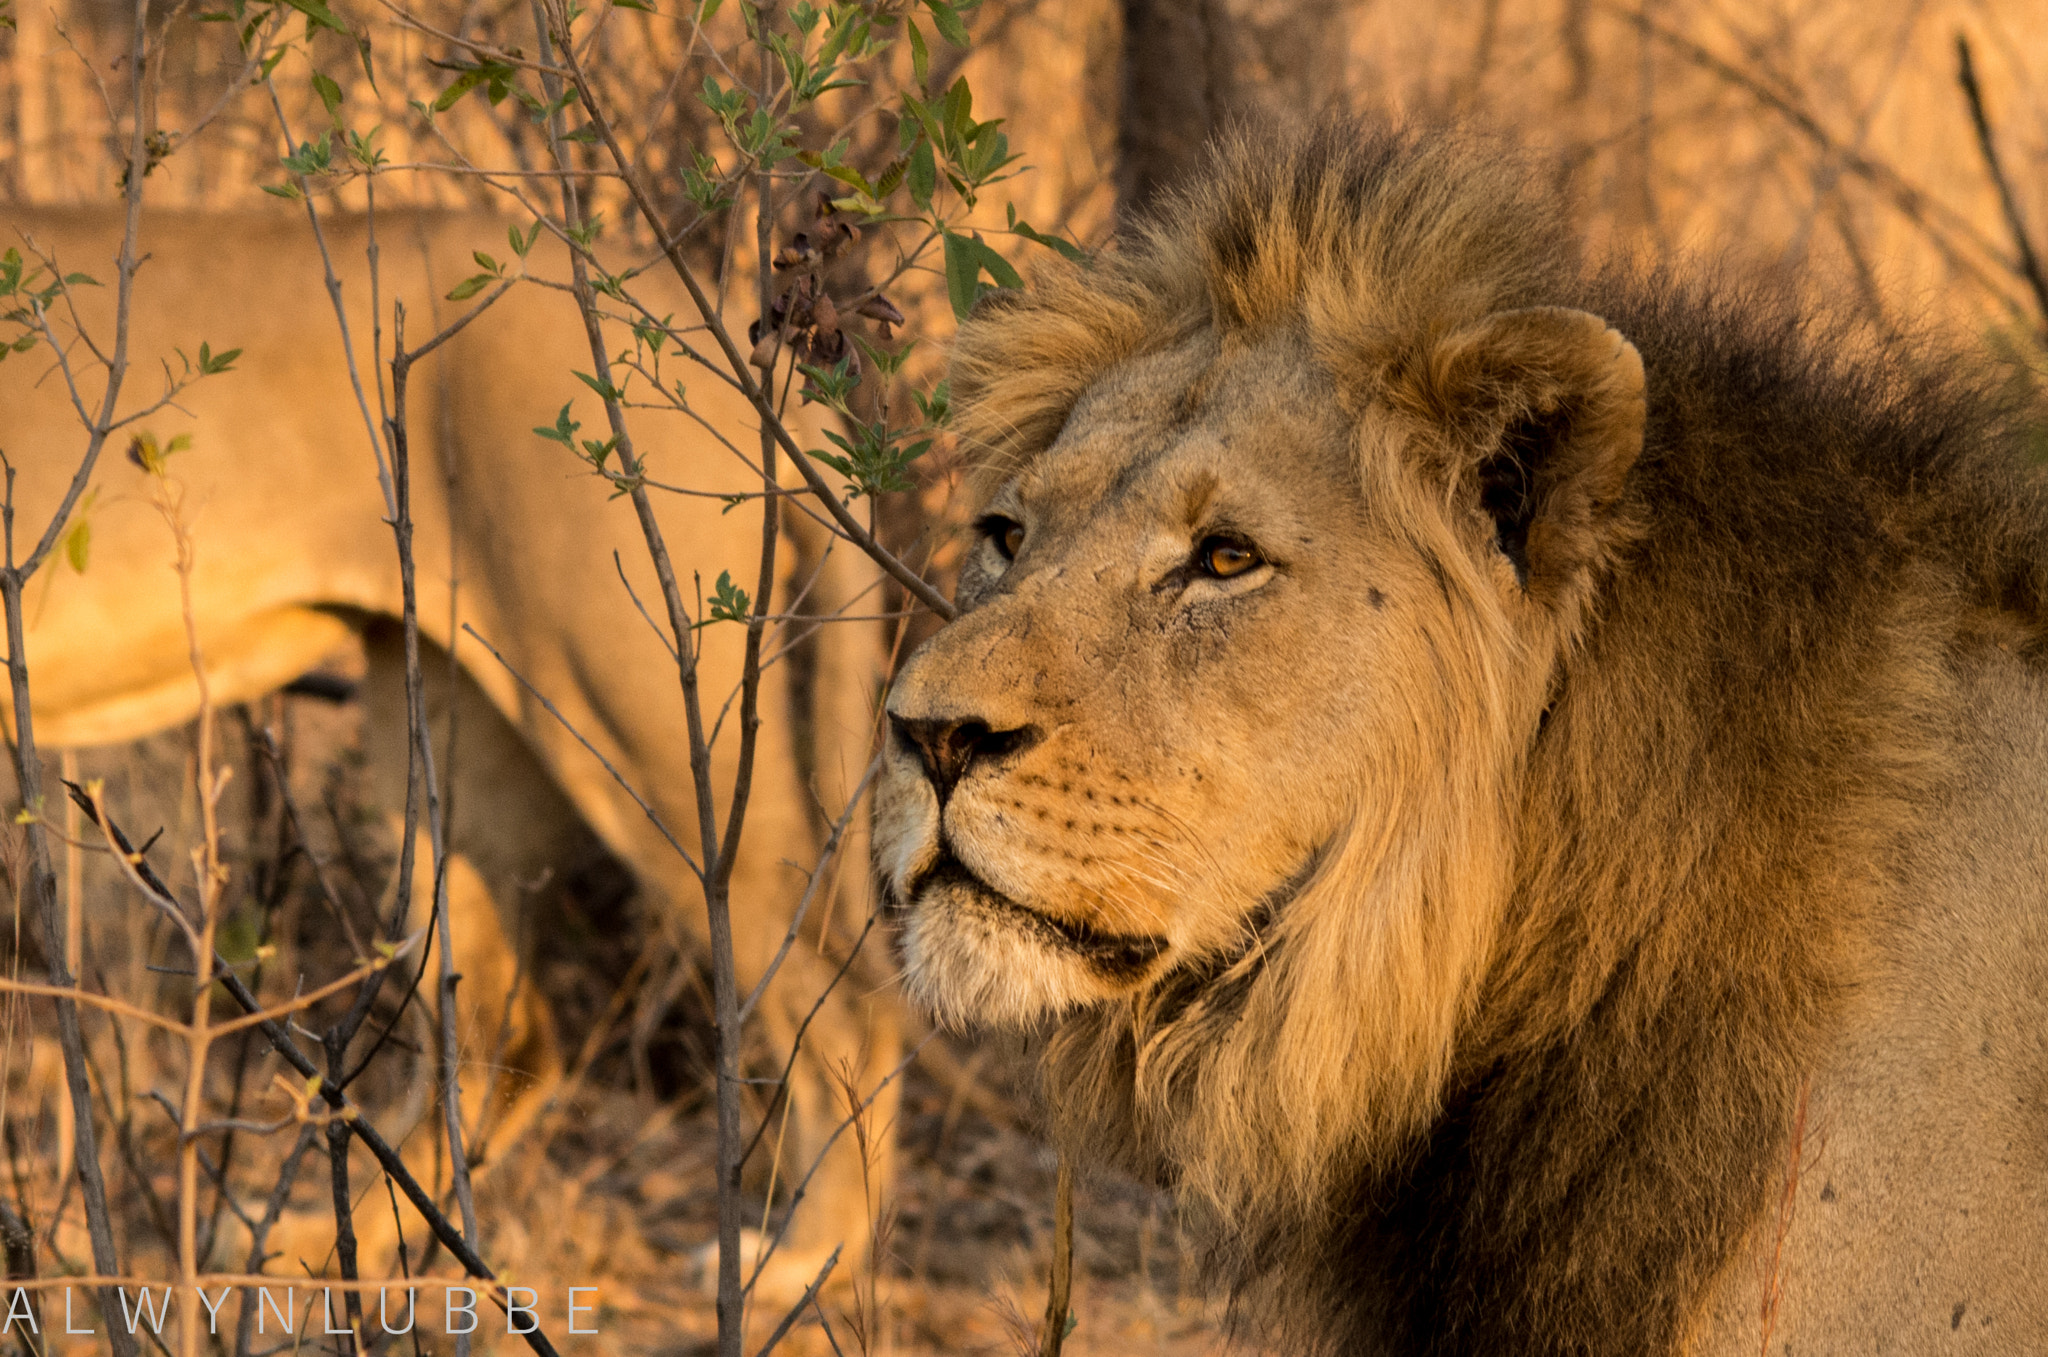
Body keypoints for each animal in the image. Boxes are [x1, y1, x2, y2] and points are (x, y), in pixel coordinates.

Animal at [6, 209, 897, 1293]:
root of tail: (725, 323)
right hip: (441, 733)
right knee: (508, 1037)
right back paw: (314, 1242)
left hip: (645, 724)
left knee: (846, 999)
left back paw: (800, 1262)